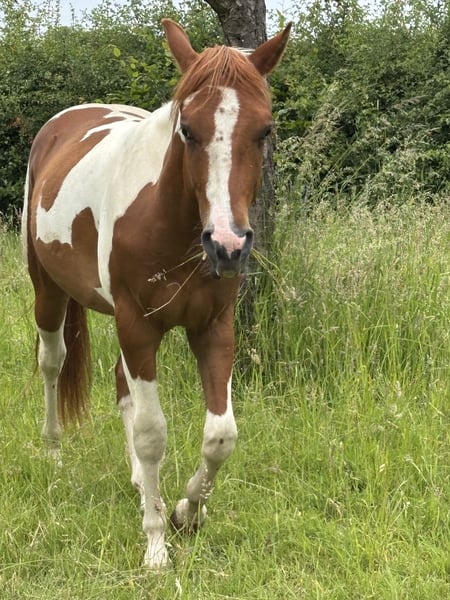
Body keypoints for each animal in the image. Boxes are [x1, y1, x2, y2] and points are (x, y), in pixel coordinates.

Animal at [22, 18, 291, 568]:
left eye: (265, 130)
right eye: (187, 129)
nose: (228, 245)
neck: (169, 222)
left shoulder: (213, 328)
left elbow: (220, 435)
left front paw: (187, 512)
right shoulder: (138, 326)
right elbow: (152, 435)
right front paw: (155, 545)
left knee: (121, 386)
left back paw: (138, 485)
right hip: (49, 293)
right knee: (53, 364)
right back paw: (54, 454)